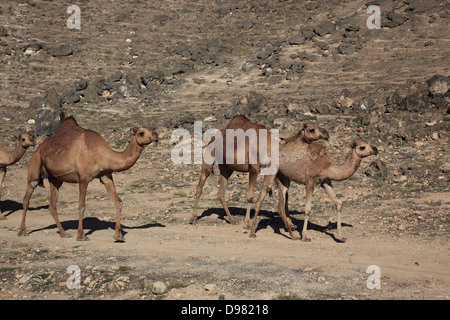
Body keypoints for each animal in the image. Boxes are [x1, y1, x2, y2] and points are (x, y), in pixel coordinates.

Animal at [17, 116, 158, 241]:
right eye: (141, 132)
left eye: (151, 129)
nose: (156, 135)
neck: (102, 154)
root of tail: (39, 148)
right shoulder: (83, 178)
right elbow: (82, 206)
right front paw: (81, 236)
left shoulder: (106, 176)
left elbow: (119, 202)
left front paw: (119, 236)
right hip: (35, 165)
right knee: (26, 198)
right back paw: (22, 231)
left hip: (55, 179)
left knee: (52, 205)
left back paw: (64, 233)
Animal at [188, 115, 328, 230]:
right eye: (311, 129)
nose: (327, 133)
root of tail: (212, 137)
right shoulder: (254, 168)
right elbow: (250, 196)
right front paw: (247, 223)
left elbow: (285, 196)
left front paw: (290, 223)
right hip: (209, 156)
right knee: (200, 186)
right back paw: (193, 218)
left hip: (226, 168)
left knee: (220, 192)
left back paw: (232, 220)